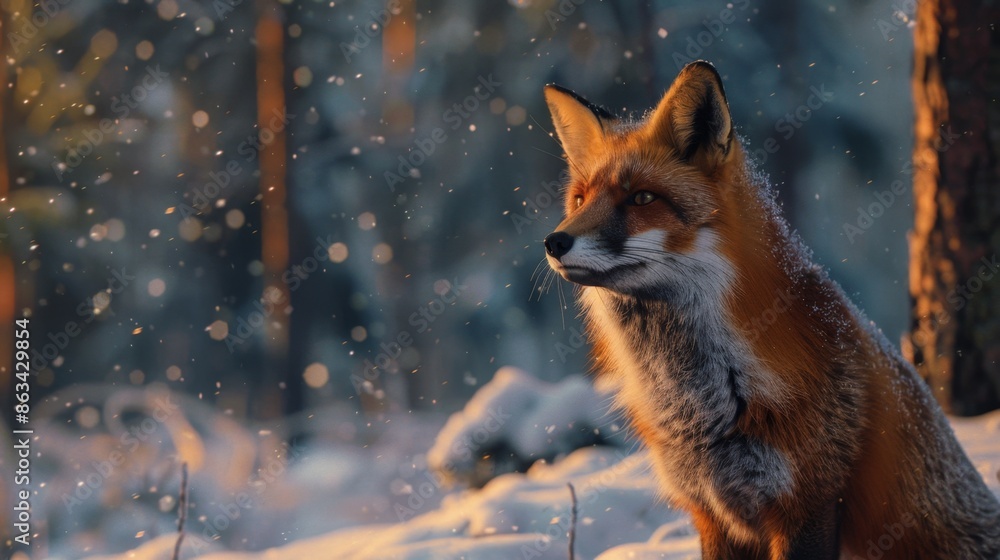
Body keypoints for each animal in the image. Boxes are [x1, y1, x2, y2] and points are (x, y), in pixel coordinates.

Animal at [542, 60, 1000, 560]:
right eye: (580, 199)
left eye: (642, 198)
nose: (554, 242)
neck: (703, 403)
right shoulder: (713, 513)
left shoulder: (808, 504)